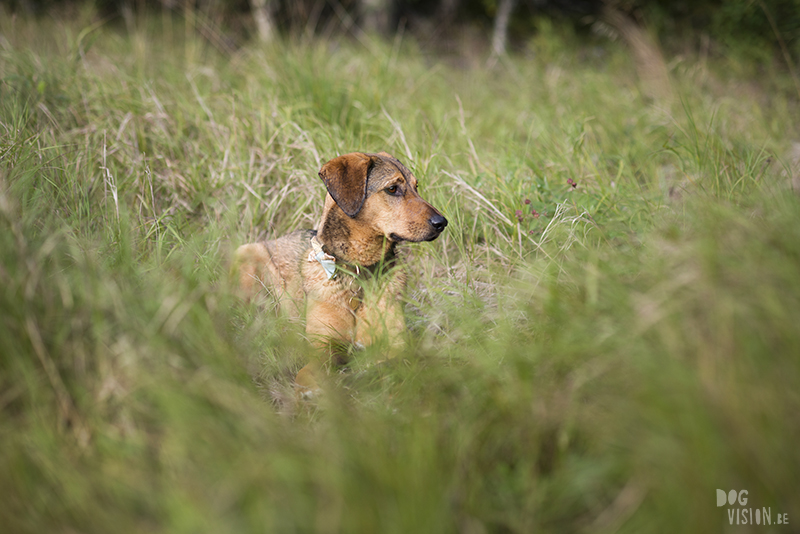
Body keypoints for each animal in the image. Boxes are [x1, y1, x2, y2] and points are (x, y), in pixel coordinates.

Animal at [234, 151, 446, 398]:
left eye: (416, 187)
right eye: (392, 188)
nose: (442, 222)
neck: (360, 272)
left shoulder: (396, 345)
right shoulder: (323, 345)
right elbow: (306, 373)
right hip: (247, 254)